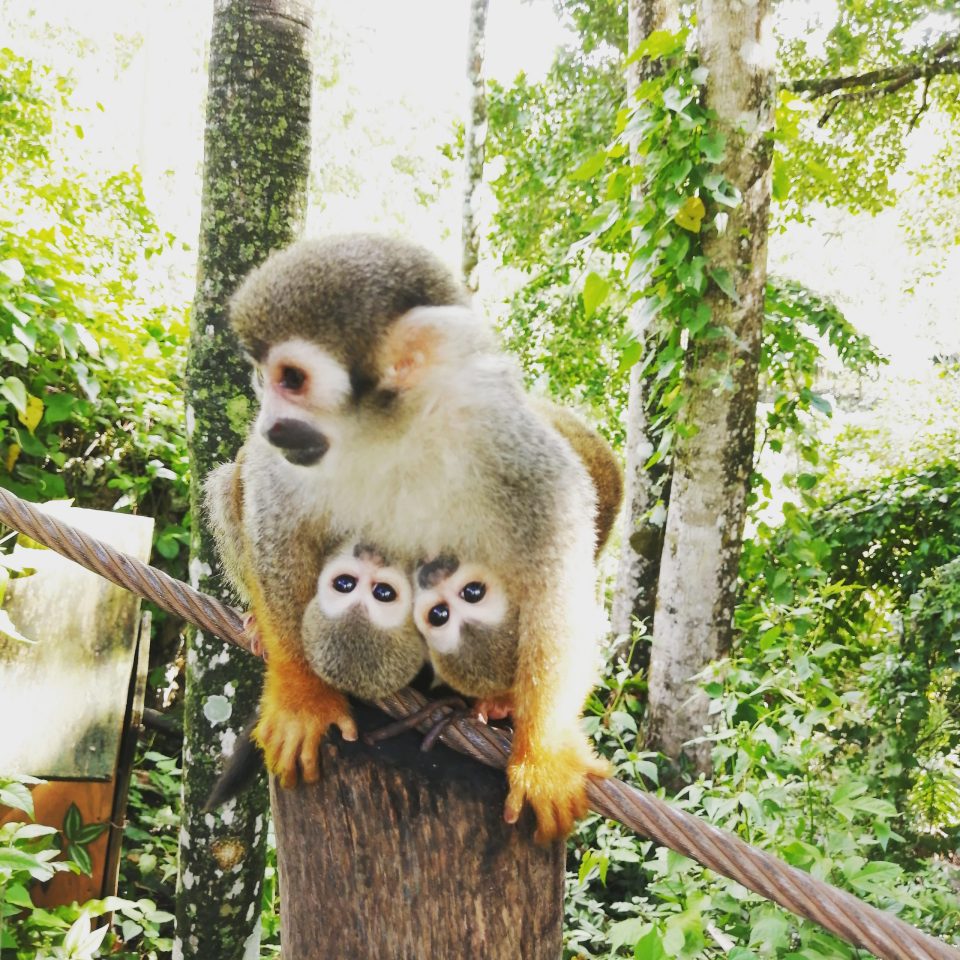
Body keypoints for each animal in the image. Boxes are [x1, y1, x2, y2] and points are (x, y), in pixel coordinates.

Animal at [212, 233, 617, 840]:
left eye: (293, 379)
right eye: (264, 377)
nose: (268, 423)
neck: (394, 433)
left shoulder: (519, 453)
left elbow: (558, 586)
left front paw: (542, 755)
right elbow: (275, 525)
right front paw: (304, 697)